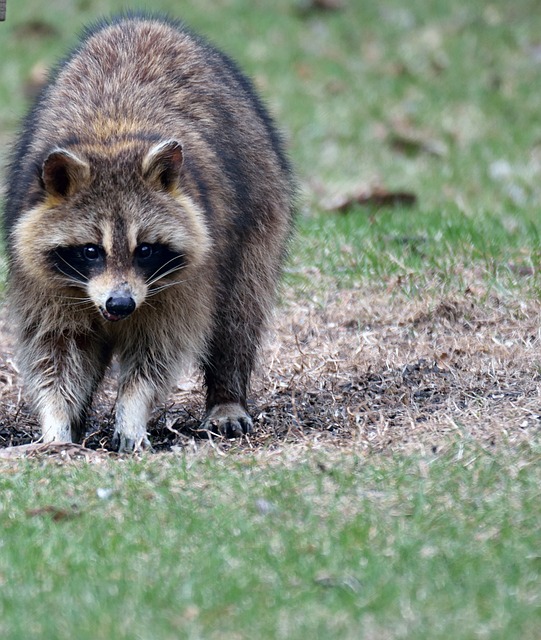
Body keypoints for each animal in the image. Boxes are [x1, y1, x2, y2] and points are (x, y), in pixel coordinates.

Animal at [2, 12, 294, 452]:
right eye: (91, 250)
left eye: (144, 250)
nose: (120, 304)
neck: (110, 138)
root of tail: (143, 21)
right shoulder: (42, 280)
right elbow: (56, 351)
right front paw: (57, 424)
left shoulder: (185, 280)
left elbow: (157, 350)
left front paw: (132, 409)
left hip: (262, 203)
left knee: (240, 311)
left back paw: (227, 394)